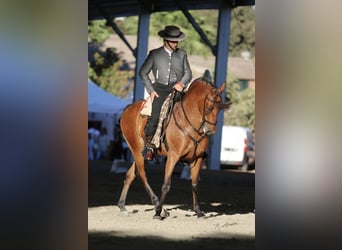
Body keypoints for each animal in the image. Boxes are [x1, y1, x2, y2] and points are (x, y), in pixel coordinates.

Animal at [117, 76, 230, 219]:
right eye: (209, 107)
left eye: (220, 109)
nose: (210, 131)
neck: (190, 122)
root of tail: (128, 109)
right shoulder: (173, 156)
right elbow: (166, 185)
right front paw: (158, 212)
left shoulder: (197, 158)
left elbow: (195, 184)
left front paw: (198, 211)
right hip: (136, 150)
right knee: (142, 175)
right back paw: (157, 205)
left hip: (139, 153)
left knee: (130, 175)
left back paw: (122, 206)